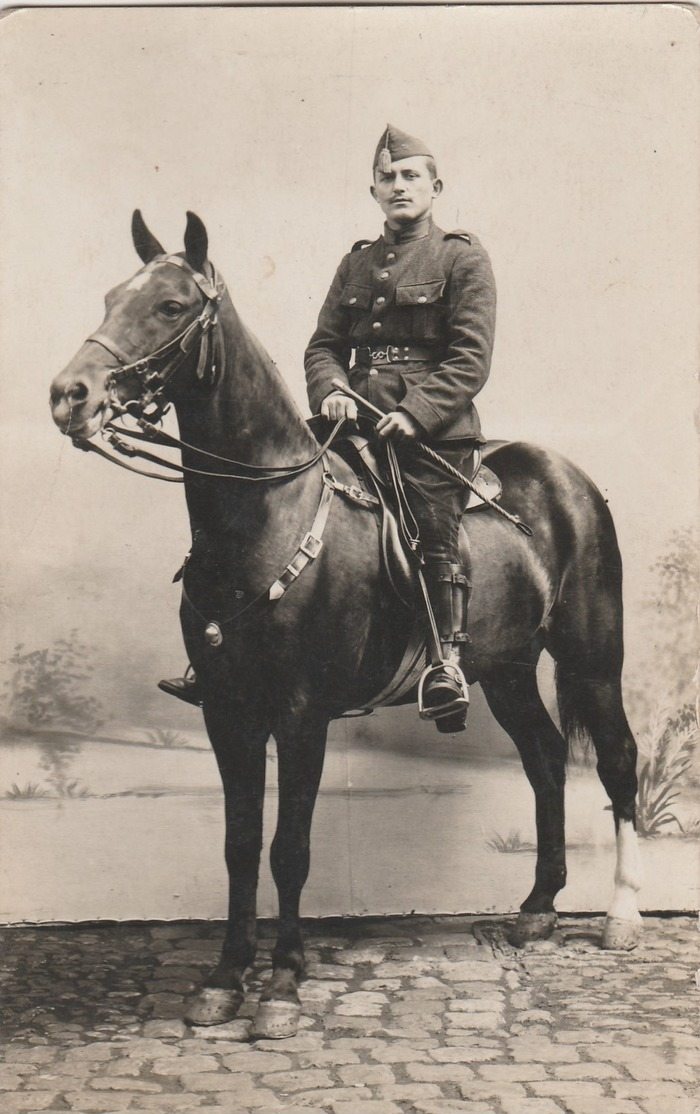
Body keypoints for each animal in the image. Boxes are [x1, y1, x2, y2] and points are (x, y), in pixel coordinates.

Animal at [46, 212, 642, 1038]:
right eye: (111, 297)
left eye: (170, 306)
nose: (69, 395)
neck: (266, 513)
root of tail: (568, 478)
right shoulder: (227, 713)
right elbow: (239, 845)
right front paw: (224, 980)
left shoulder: (302, 715)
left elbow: (289, 849)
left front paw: (282, 986)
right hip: (507, 668)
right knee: (547, 758)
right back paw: (539, 906)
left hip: (591, 654)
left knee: (616, 758)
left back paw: (621, 916)